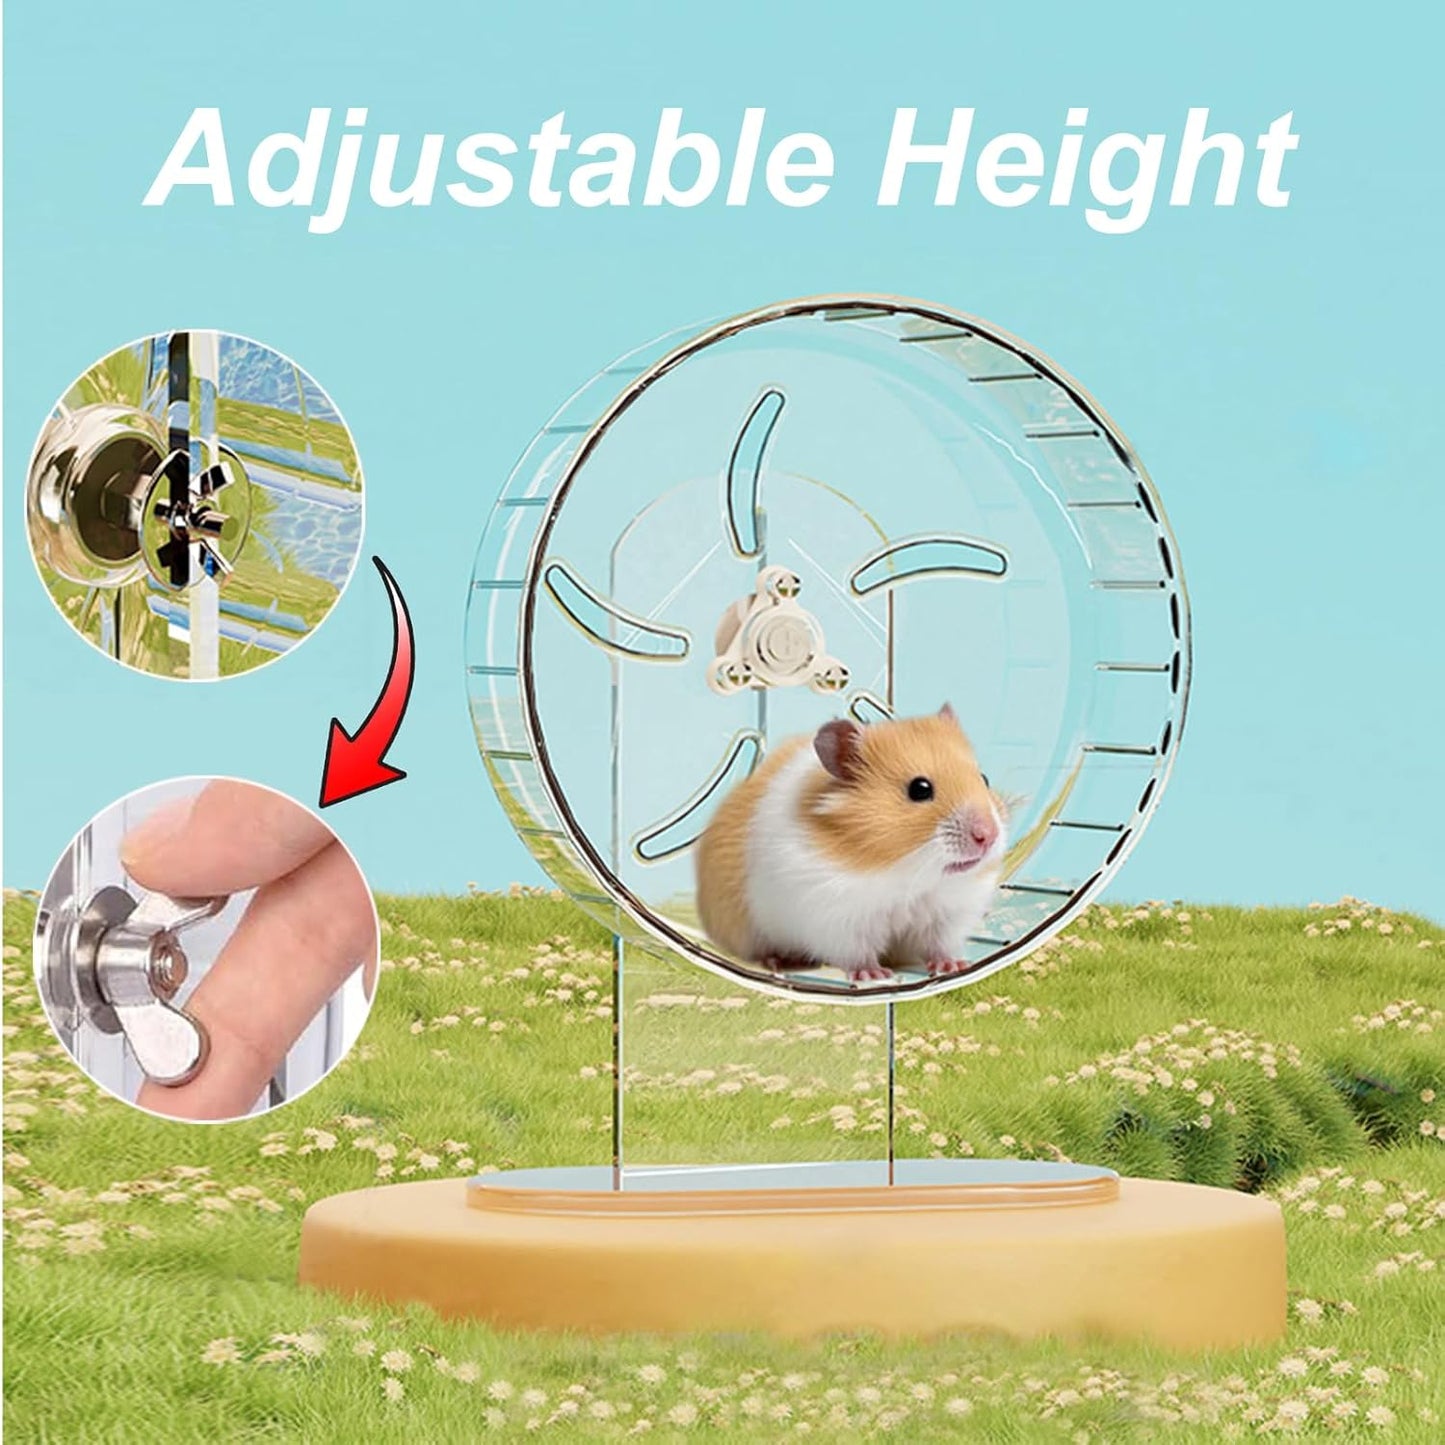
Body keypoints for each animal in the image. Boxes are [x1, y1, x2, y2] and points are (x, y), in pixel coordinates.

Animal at [695, 705, 1007, 983]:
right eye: (920, 789)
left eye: (984, 778)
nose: (988, 836)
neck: (907, 875)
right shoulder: (837, 918)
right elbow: (857, 952)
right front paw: (874, 975)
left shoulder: (948, 915)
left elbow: (939, 945)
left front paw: (955, 966)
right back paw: (781, 960)